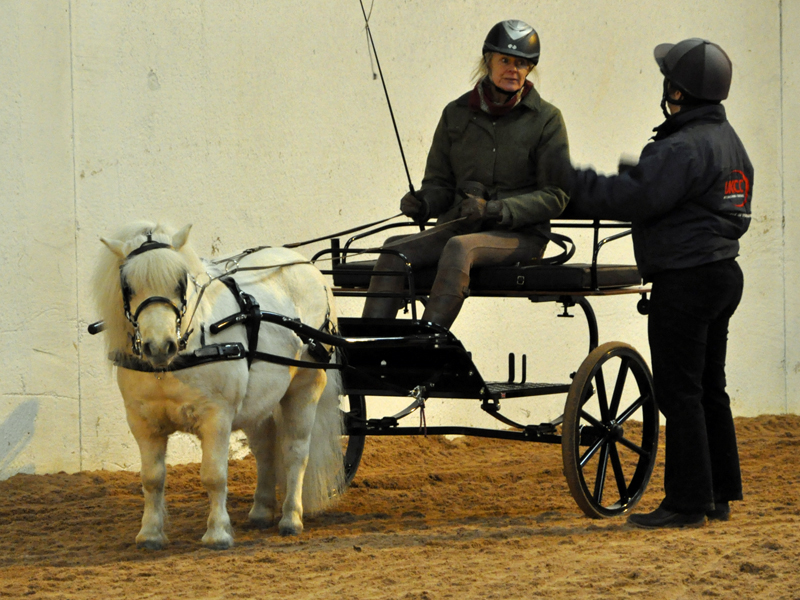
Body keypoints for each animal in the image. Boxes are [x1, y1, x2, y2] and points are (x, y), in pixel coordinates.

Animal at [94, 221, 344, 548]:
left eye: (180, 283)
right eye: (128, 286)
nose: (159, 346)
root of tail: (304, 264)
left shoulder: (217, 417)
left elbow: (213, 475)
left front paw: (218, 534)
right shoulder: (143, 422)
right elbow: (151, 478)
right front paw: (150, 533)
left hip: (306, 385)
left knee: (296, 451)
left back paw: (291, 518)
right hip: (260, 402)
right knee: (265, 450)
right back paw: (261, 511)